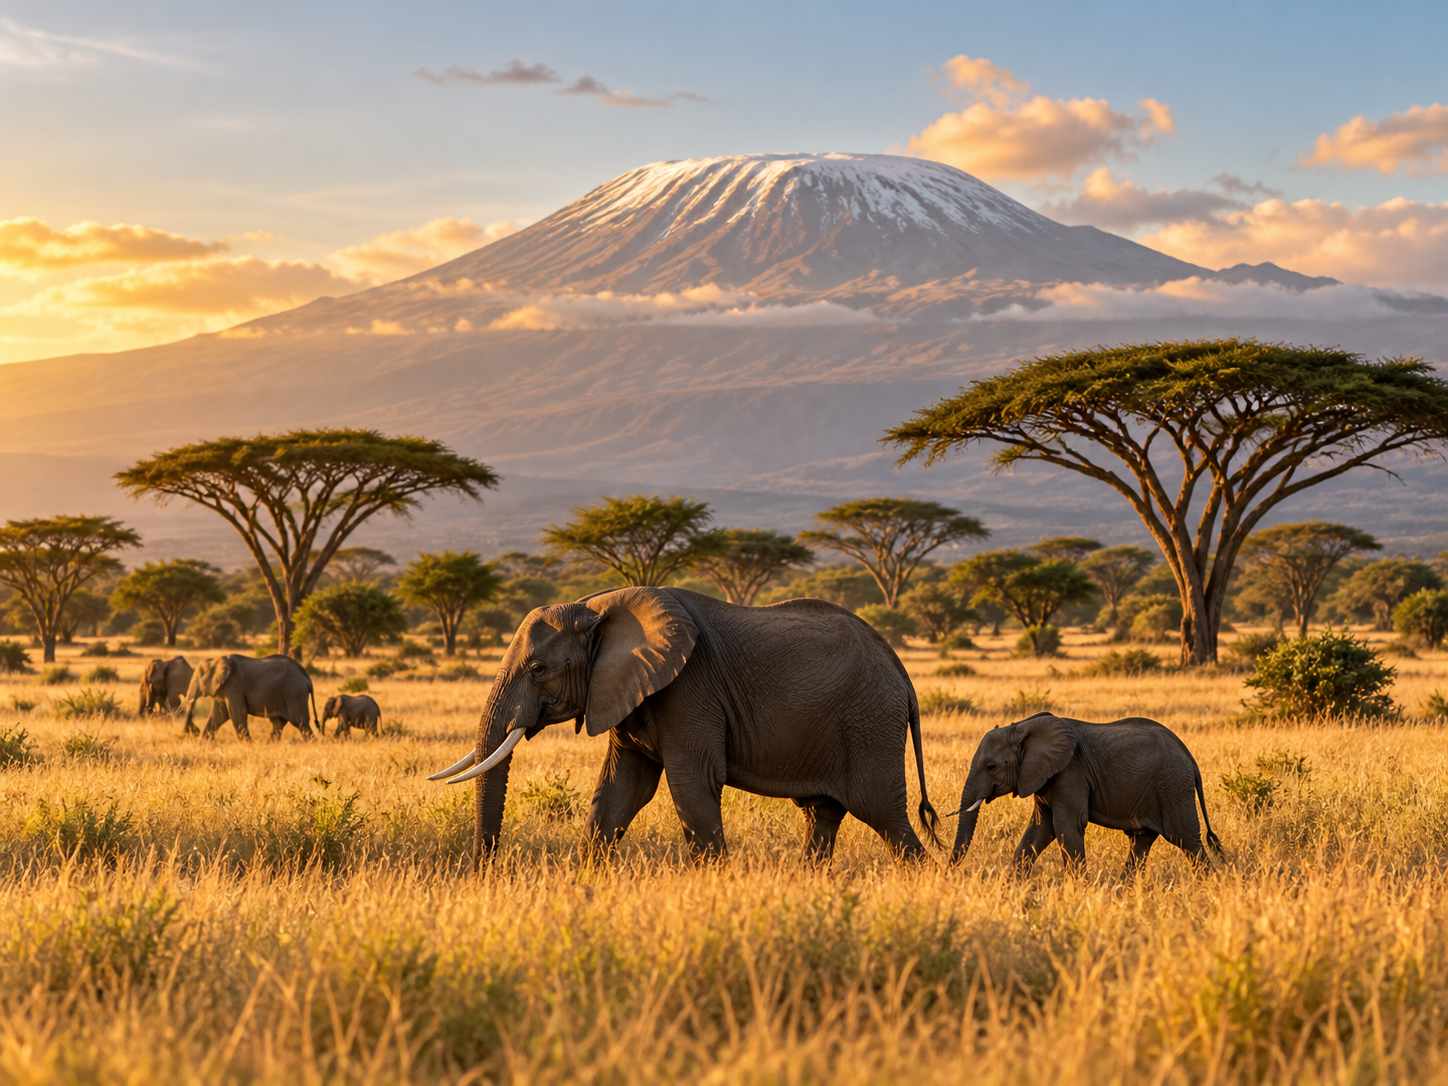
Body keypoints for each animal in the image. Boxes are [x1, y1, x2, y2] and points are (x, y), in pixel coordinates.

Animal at [182, 654, 320, 741]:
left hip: (294, 693)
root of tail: (307, 678)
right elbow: (219, 714)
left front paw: (247, 745)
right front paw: (202, 745)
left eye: (196, 679)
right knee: (278, 723)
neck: (215, 660)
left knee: (301, 723)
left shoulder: (234, 685)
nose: (193, 730)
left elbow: (237, 712)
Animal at [427, 586, 942, 866]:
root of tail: (903, 676)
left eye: (537, 669)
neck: (599, 607)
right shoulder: (625, 690)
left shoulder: (688, 690)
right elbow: (619, 791)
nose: (487, 874)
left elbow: (693, 785)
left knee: (885, 815)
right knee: (823, 815)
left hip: (870, 722)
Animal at [951, 711, 1222, 874]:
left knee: (1187, 840)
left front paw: (1078, 892)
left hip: (1173, 786)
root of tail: (1188, 755)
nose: (949, 872)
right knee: (1142, 841)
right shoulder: (1042, 777)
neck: (1023, 726)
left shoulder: (1070, 773)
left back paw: (1208, 889)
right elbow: (1039, 829)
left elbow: (1065, 827)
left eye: (991, 767)